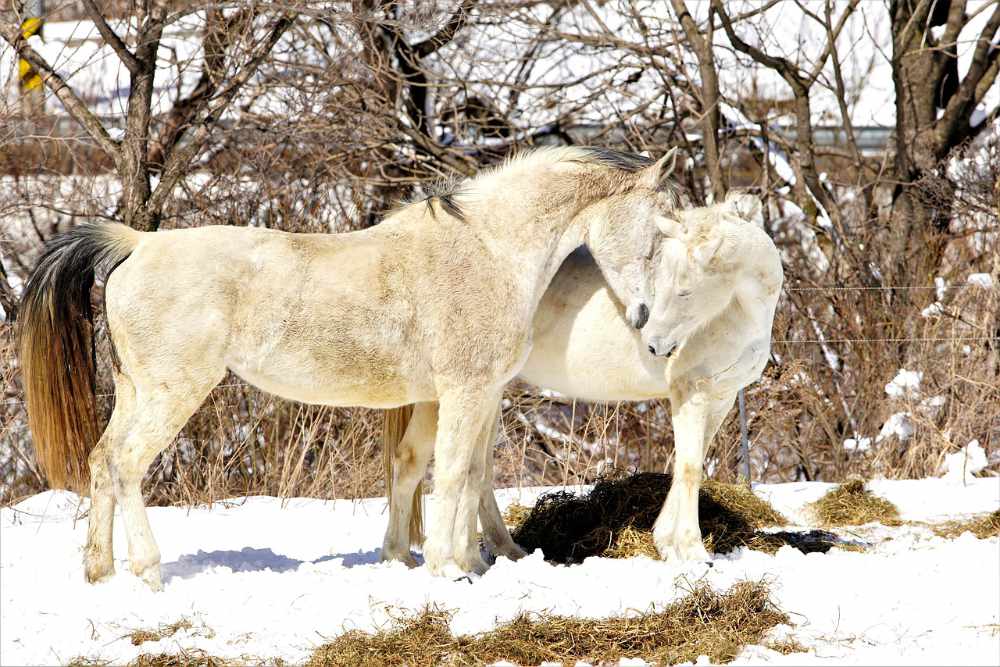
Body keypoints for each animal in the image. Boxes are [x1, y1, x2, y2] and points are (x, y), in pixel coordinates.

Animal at [19, 147, 680, 588]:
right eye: (656, 235)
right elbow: (454, 473)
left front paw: (450, 559)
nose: (648, 319)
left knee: (102, 461)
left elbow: (451, 472)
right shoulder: (466, 390)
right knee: (128, 464)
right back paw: (149, 572)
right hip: (173, 392)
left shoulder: (463, 394)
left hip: (135, 391)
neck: (490, 252)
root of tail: (138, 244)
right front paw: (449, 568)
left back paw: (100, 572)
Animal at [382, 192, 780, 564]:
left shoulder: (720, 395)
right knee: (417, 461)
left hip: (489, 394)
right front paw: (692, 551)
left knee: (474, 471)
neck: (739, 311)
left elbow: (686, 465)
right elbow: (690, 468)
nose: (654, 345)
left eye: (684, 291)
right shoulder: (690, 392)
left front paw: (666, 541)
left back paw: (504, 550)